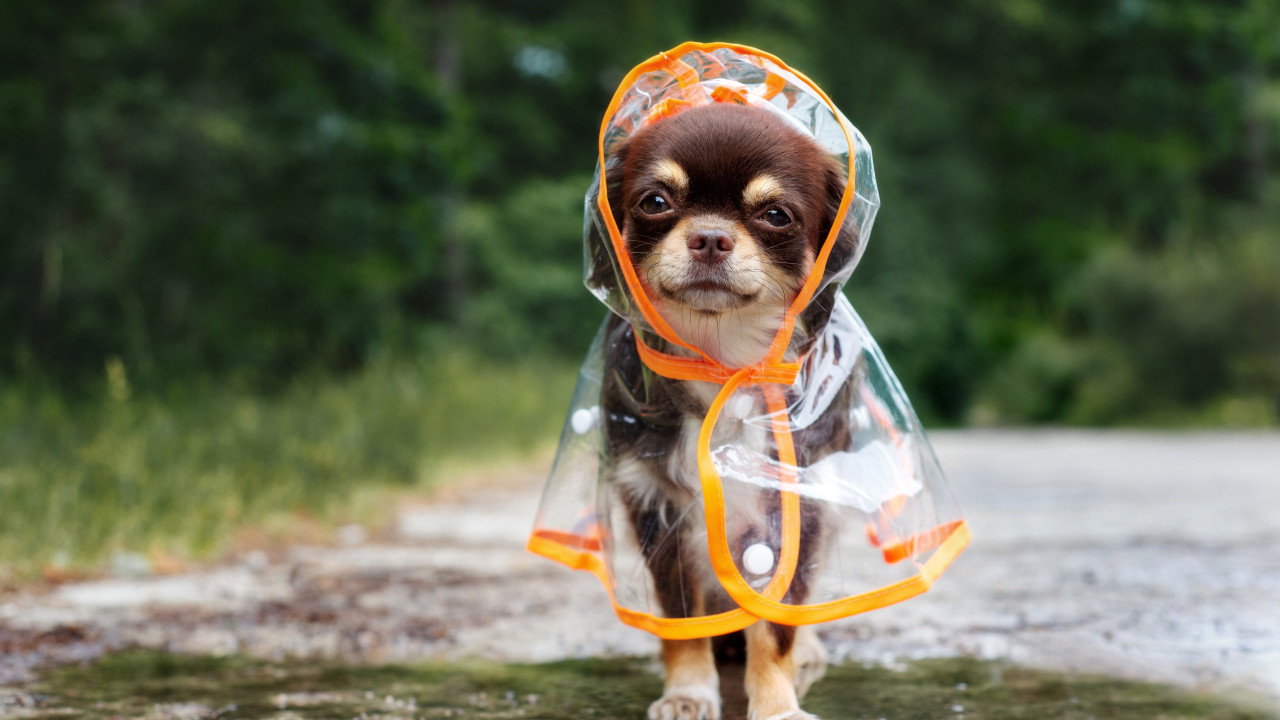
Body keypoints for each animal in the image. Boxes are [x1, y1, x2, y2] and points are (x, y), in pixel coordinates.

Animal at [599, 102, 860, 717]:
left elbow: (776, 625)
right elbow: (683, 620)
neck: (721, 363)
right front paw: (688, 693)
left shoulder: (793, 509)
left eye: (775, 215)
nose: (711, 238)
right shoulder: (659, 509)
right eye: (655, 202)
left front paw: (777, 705)